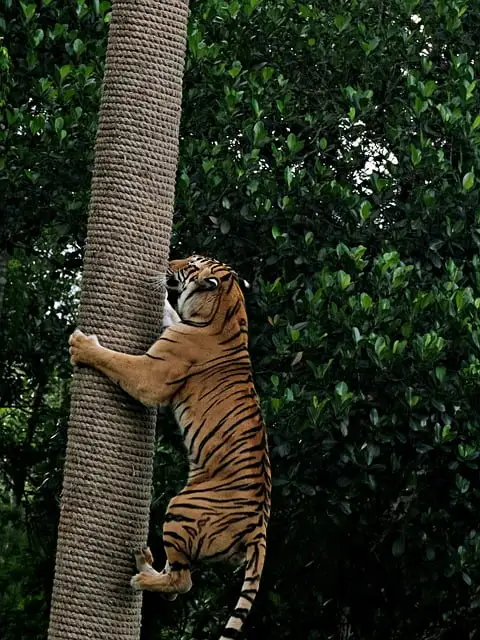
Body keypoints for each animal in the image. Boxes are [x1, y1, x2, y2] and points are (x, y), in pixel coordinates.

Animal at [68, 254, 271, 639]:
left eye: (190, 263)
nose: (169, 260)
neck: (226, 308)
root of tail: (260, 531)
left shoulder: (151, 376)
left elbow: (116, 360)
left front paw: (81, 345)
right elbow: (169, 313)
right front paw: (161, 297)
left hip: (182, 507)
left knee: (183, 583)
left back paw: (140, 574)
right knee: (178, 582)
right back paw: (145, 562)